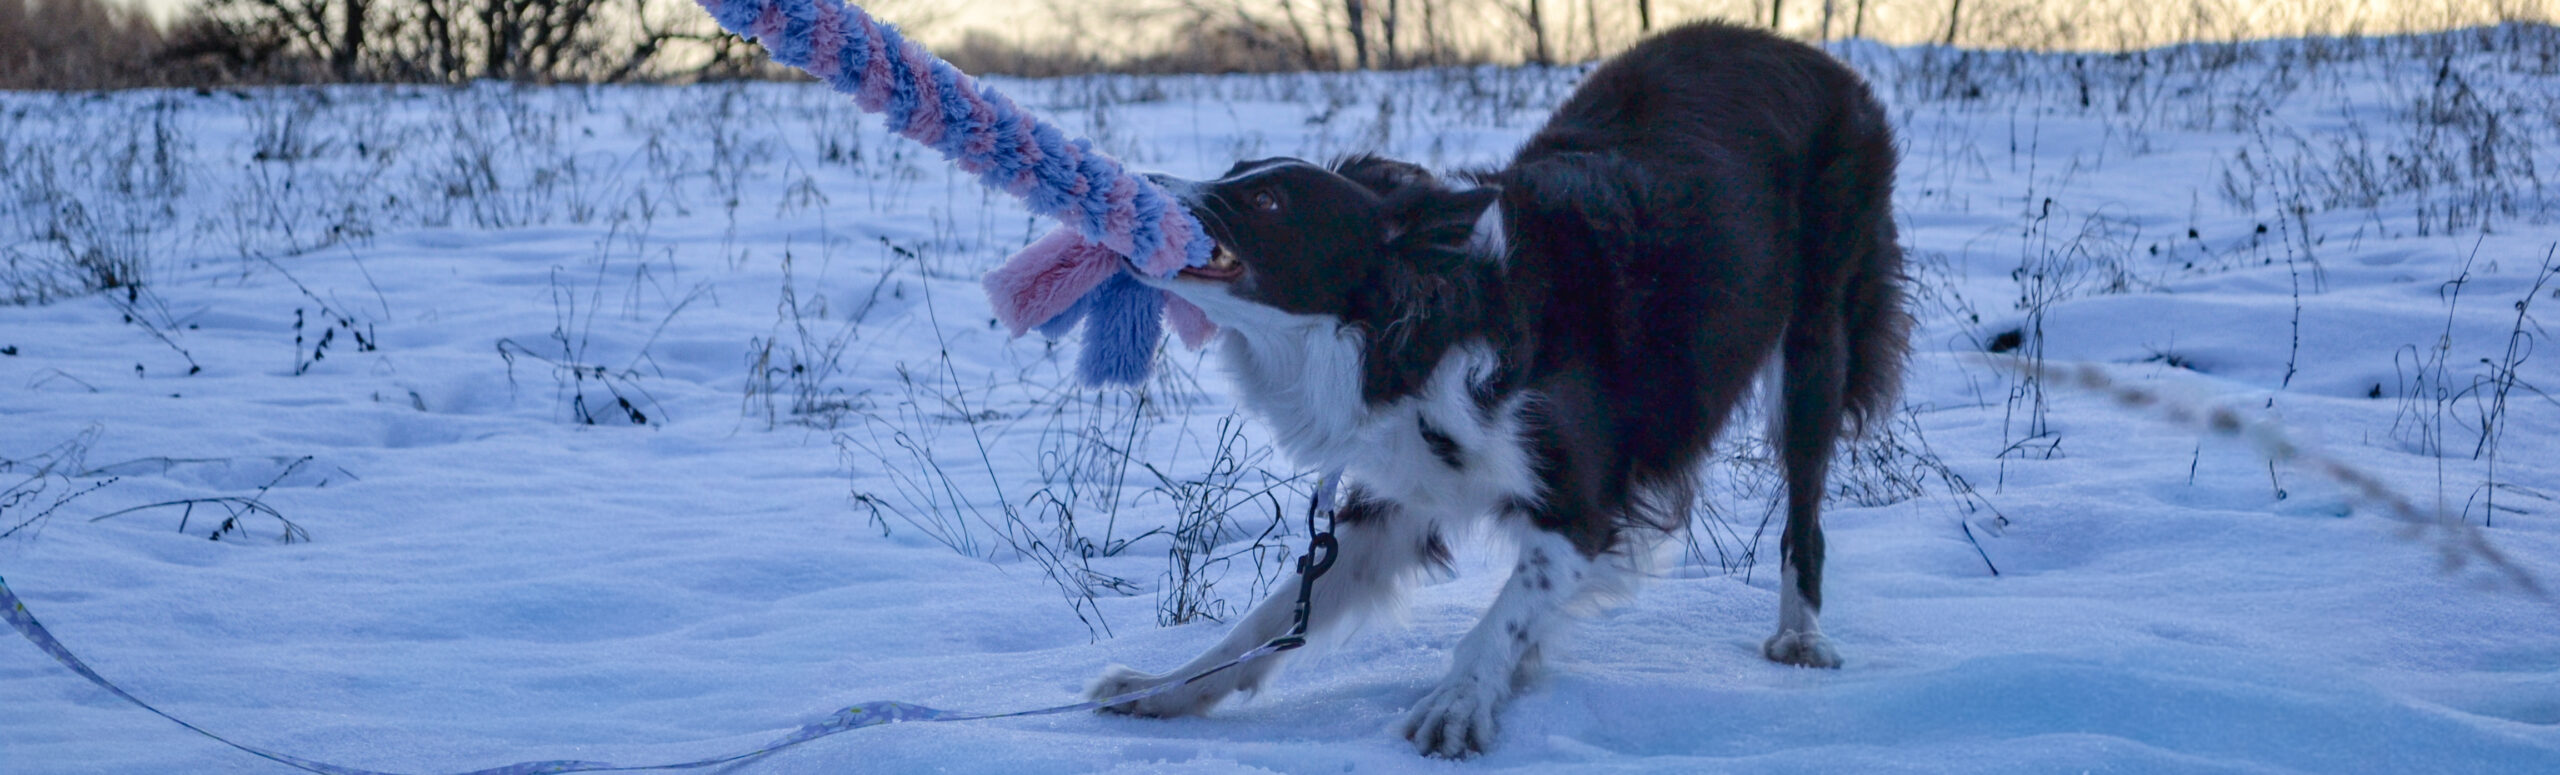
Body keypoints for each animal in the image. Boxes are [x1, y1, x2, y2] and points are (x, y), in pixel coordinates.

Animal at [1089, 22, 1910, 758]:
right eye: (1236, 170)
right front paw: (1163, 689)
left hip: (1816, 340)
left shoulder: (1581, 499)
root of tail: (1811, 54)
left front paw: (1461, 700)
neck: (1416, 328)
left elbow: (1511, 604)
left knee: (1804, 508)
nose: (1132, 185)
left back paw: (1800, 633)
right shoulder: (1403, 483)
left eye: (1269, 204)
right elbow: (1270, 618)